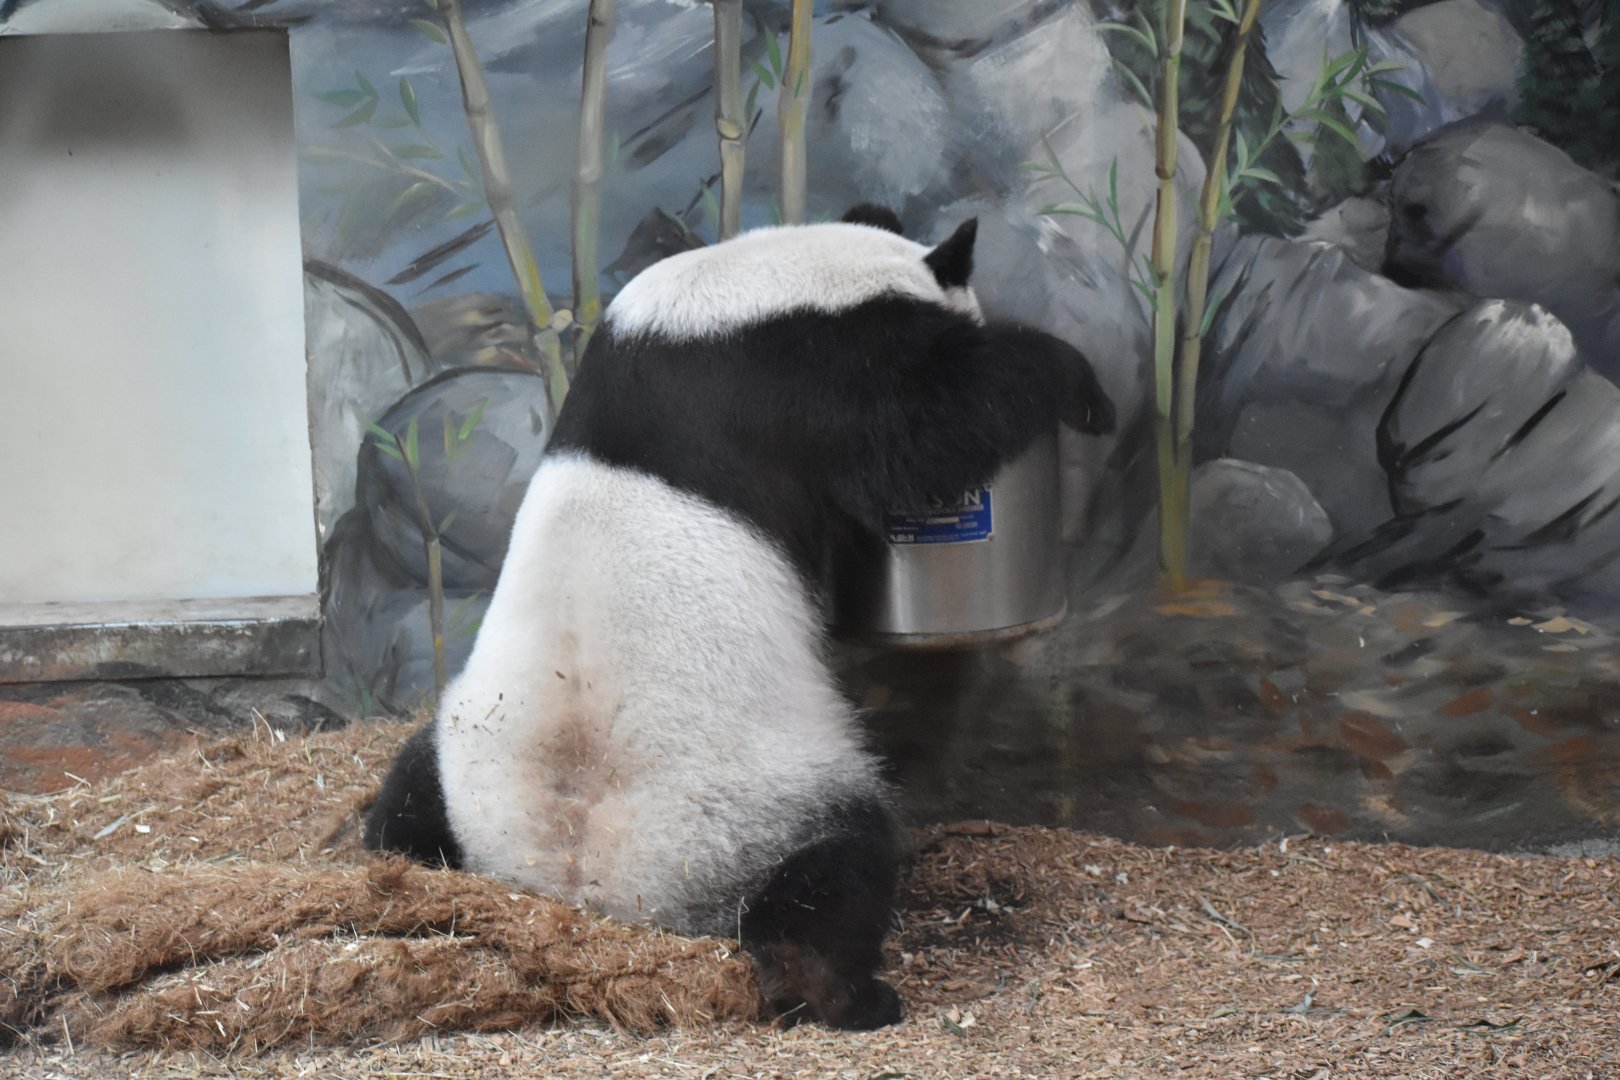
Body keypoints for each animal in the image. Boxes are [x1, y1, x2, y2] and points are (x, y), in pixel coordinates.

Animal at [363, 204, 1115, 1030]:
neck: (751, 282)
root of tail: (577, 886)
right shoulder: (816, 374)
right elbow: (930, 430)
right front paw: (1079, 387)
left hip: (470, 749)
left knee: (410, 784)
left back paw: (384, 845)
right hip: (753, 806)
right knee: (835, 867)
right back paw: (837, 988)